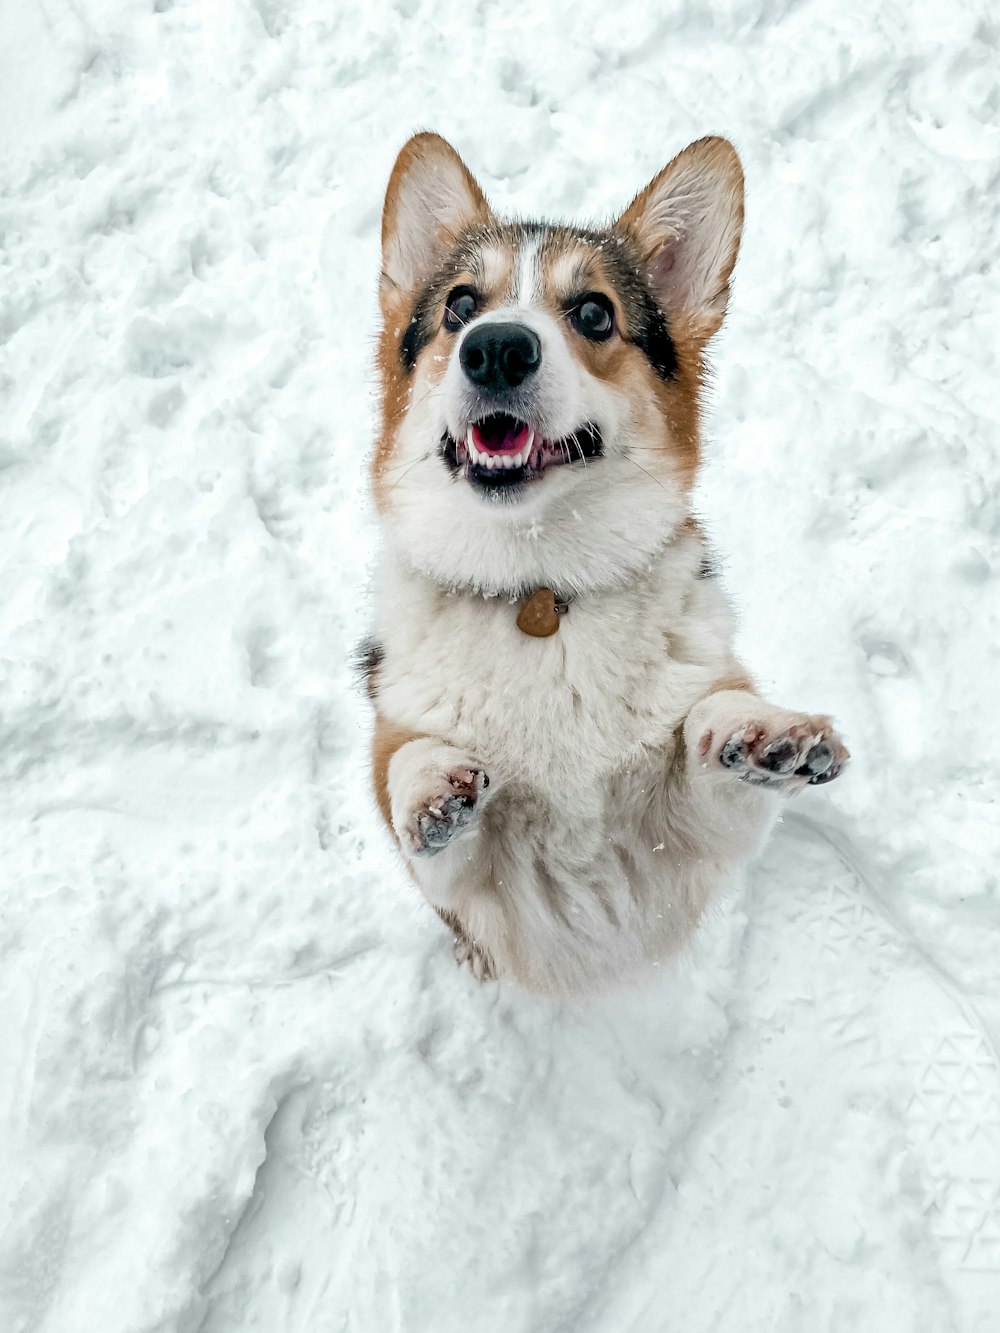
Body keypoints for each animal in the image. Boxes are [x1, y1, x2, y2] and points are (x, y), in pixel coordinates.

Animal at [365, 129, 848, 997]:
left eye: (593, 311)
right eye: (460, 306)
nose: (496, 347)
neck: (541, 591)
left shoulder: (691, 842)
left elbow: (709, 721)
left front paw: (765, 734)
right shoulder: (480, 890)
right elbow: (412, 770)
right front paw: (432, 788)